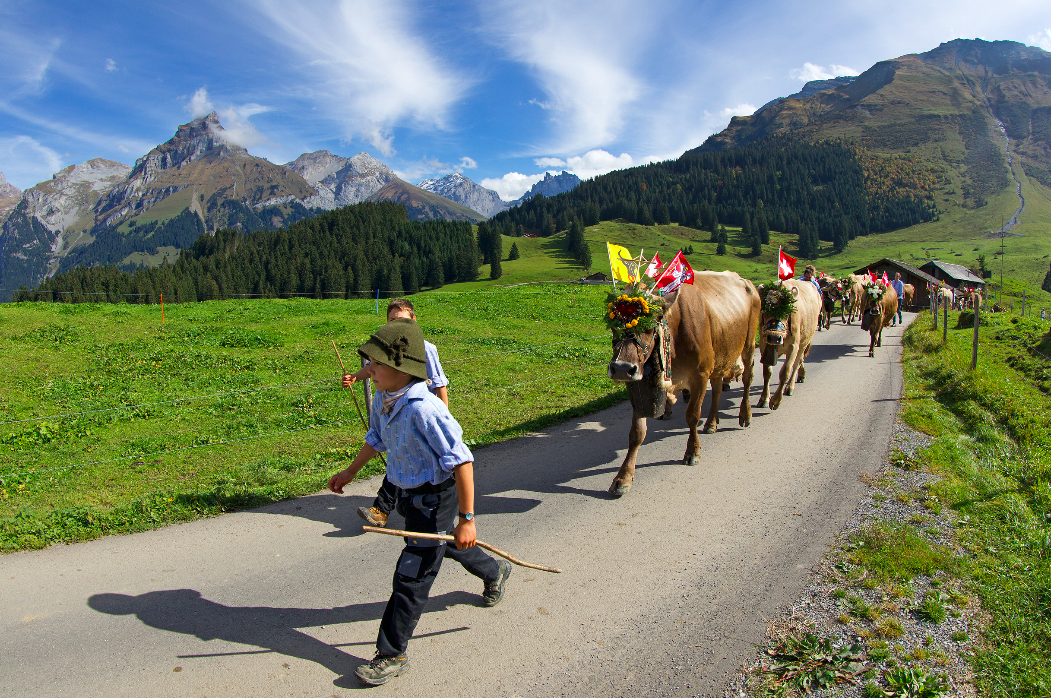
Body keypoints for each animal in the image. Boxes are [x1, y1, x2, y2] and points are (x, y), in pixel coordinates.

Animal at [606, 272, 760, 497]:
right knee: (717, 388)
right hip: (719, 357)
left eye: (649, 327)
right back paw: (712, 423)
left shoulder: (700, 375)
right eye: (613, 326)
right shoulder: (640, 383)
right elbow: (637, 432)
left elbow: (692, 415)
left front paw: (693, 451)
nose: (621, 368)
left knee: (748, 378)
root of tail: (746, 281)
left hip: (748, 345)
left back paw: (745, 415)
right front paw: (623, 477)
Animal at [756, 279, 822, 410]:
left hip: (802, 344)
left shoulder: (793, 346)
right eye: (765, 311)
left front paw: (775, 400)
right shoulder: (763, 344)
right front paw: (764, 398)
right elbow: (767, 373)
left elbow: (785, 371)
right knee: (800, 361)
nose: (774, 337)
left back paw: (790, 387)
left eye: (787, 313)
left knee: (796, 364)